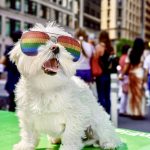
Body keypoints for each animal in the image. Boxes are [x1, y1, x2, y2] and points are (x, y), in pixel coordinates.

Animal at [10, 22, 121, 150]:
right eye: (39, 42)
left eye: (64, 44)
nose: (56, 48)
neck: (46, 87)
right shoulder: (26, 114)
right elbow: (28, 132)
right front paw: (26, 144)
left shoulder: (76, 114)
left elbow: (70, 133)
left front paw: (69, 146)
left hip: (98, 120)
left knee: (105, 131)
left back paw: (109, 143)